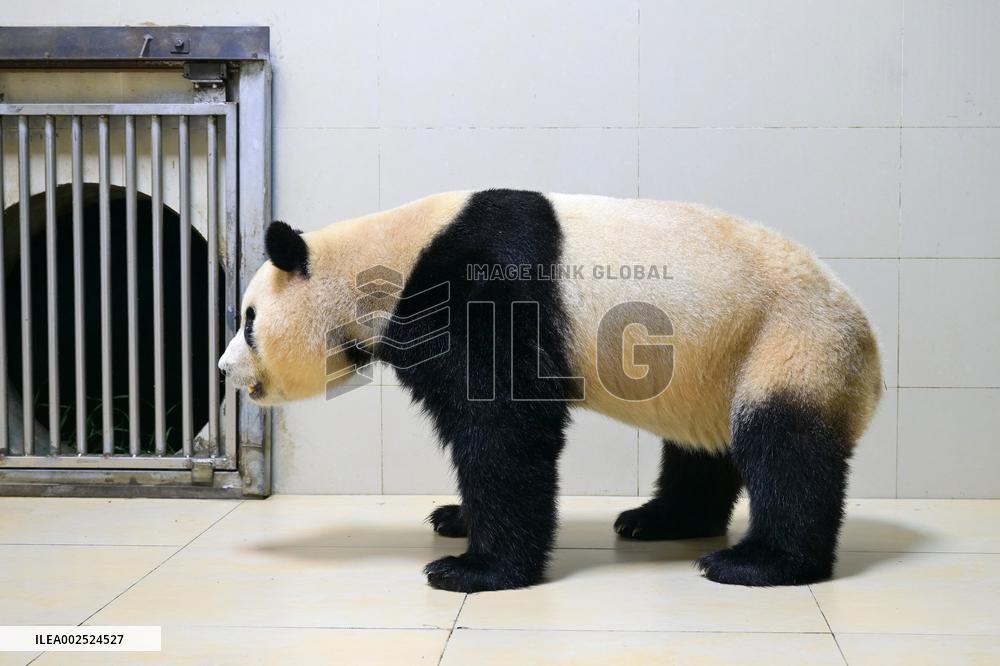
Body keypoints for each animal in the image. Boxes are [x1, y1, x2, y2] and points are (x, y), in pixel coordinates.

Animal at [218, 189, 882, 593]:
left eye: (248, 321)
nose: (224, 370)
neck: (392, 260)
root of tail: (872, 355)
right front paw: (455, 518)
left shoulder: (481, 287)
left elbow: (505, 423)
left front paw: (474, 568)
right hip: (713, 367)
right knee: (701, 450)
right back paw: (658, 520)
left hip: (790, 340)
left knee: (787, 448)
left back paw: (758, 561)